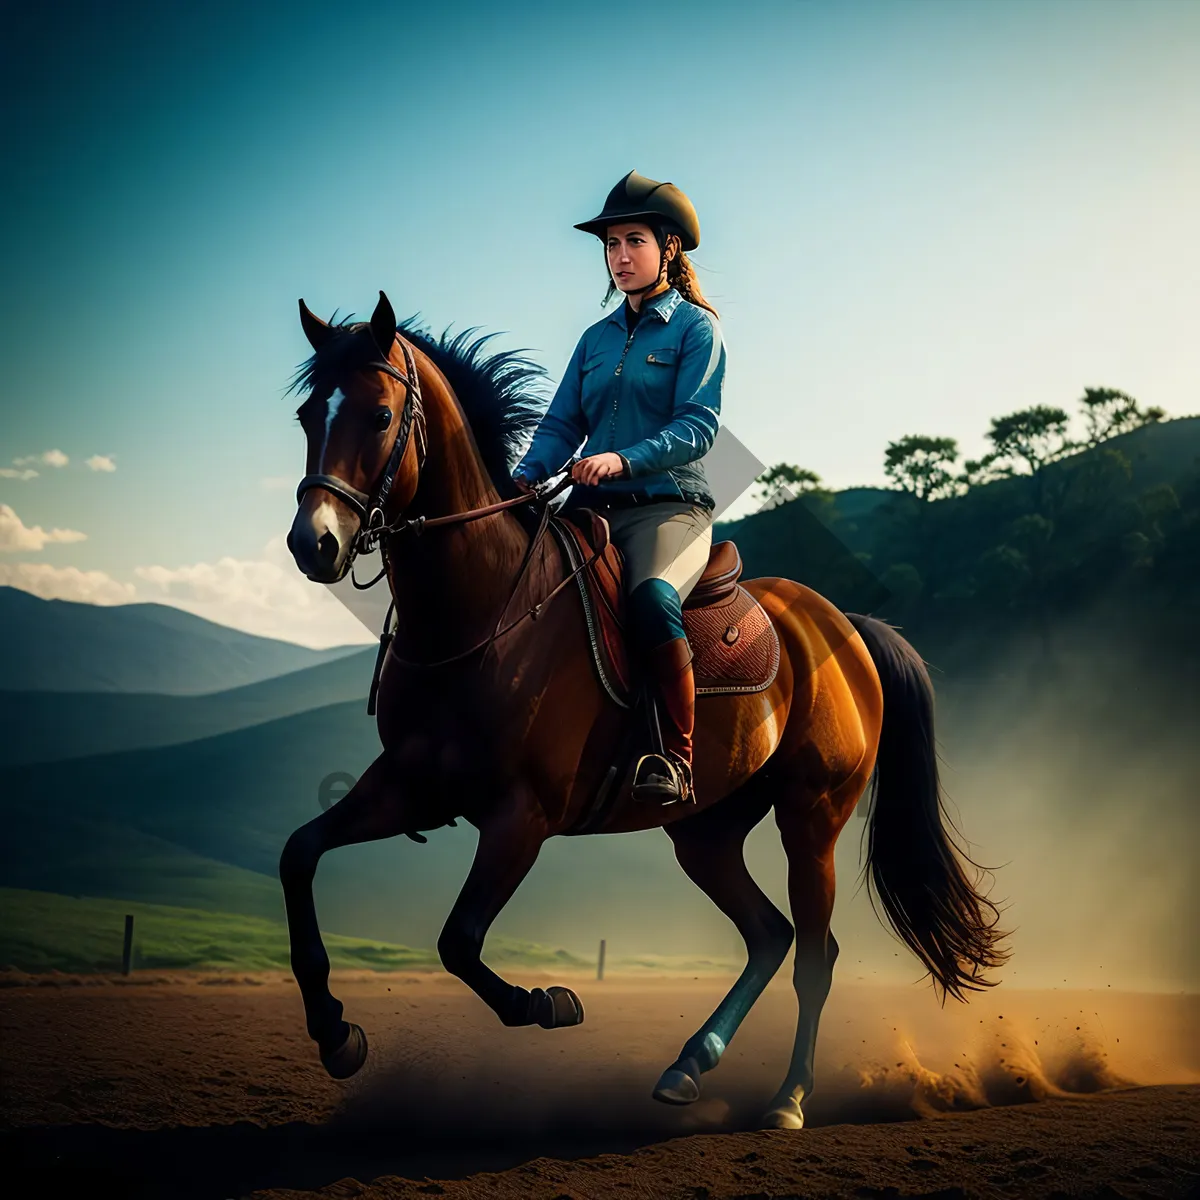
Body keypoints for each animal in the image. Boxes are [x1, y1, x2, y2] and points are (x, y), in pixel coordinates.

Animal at [283, 292, 1012, 1132]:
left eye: (377, 415)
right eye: (307, 414)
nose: (313, 544)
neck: (482, 611)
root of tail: (847, 628)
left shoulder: (521, 814)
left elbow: (458, 940)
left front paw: (551, 1003)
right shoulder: (410, 788)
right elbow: (300, 855)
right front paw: (335, 1034)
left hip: (812, 817)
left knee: (814, 956)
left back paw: (787, 1100)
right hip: (705, 830)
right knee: (770, 934)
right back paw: (689, 1067)